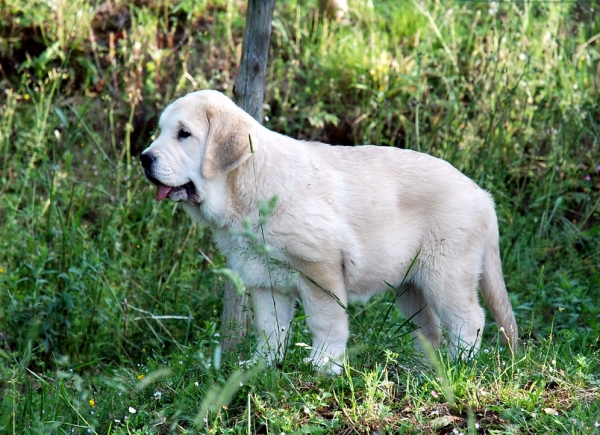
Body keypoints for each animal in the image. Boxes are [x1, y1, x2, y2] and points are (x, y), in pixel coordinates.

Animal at [141, 90, 516, 372]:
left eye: (184, 134)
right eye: (161, 132)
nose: (144, 158)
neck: (248, 186)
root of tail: (482, 195)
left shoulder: (319, 269)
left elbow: (325, 321)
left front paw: (323, 365)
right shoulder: (265, 280)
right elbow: (270, 329)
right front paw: (262, 365)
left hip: (445, 274)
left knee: (469, 319)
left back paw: (459, 365)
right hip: (410, 284)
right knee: (430, 328)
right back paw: (424, 367)